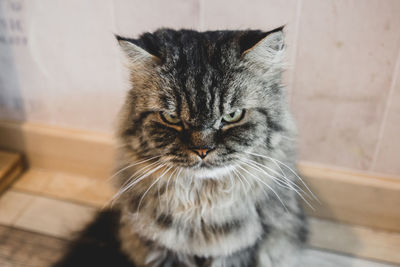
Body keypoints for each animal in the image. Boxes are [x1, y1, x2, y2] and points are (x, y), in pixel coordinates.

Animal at [53, 26, 310, 267]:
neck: (202, 205)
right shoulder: (163, 249)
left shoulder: (240, 252)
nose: (202, 150)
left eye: (232, 115)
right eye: (171, 118)